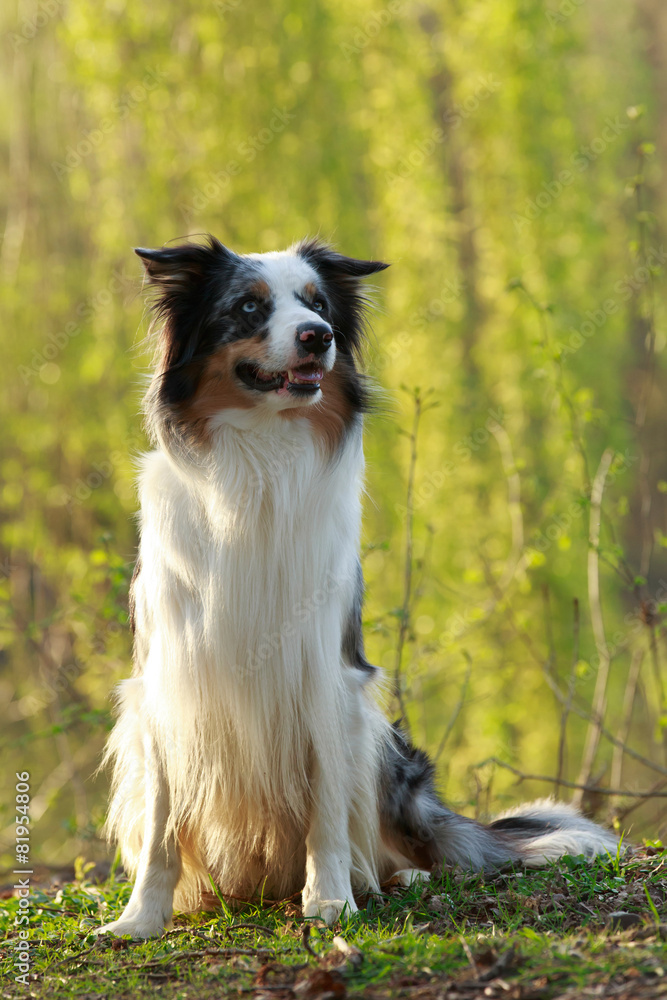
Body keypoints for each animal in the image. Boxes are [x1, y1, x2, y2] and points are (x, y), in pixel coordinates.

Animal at [98, 236, 620, 936]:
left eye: (318, 305)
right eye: (248, 306)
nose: (317, 338)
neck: (260, 462)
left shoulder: (327, 673)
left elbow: (327, 807)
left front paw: (331, 900)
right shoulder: (167, 678)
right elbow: (159, 822)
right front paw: (140, 919)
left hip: (386, 752)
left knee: (406, 843)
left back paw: (395, 876)